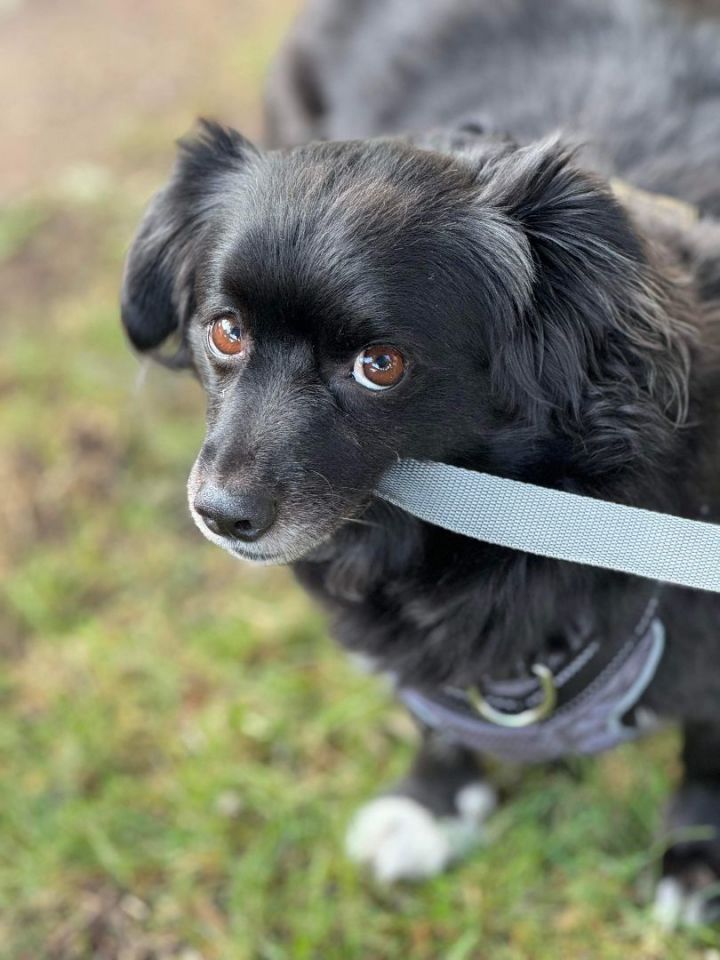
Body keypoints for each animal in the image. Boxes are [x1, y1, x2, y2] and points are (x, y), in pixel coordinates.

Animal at [125, 0, 720, 924]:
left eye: (381, 364)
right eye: (224, 330)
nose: (219, 514)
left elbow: (708, 749)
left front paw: (696, 859)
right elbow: (432, 702)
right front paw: (432, 803)